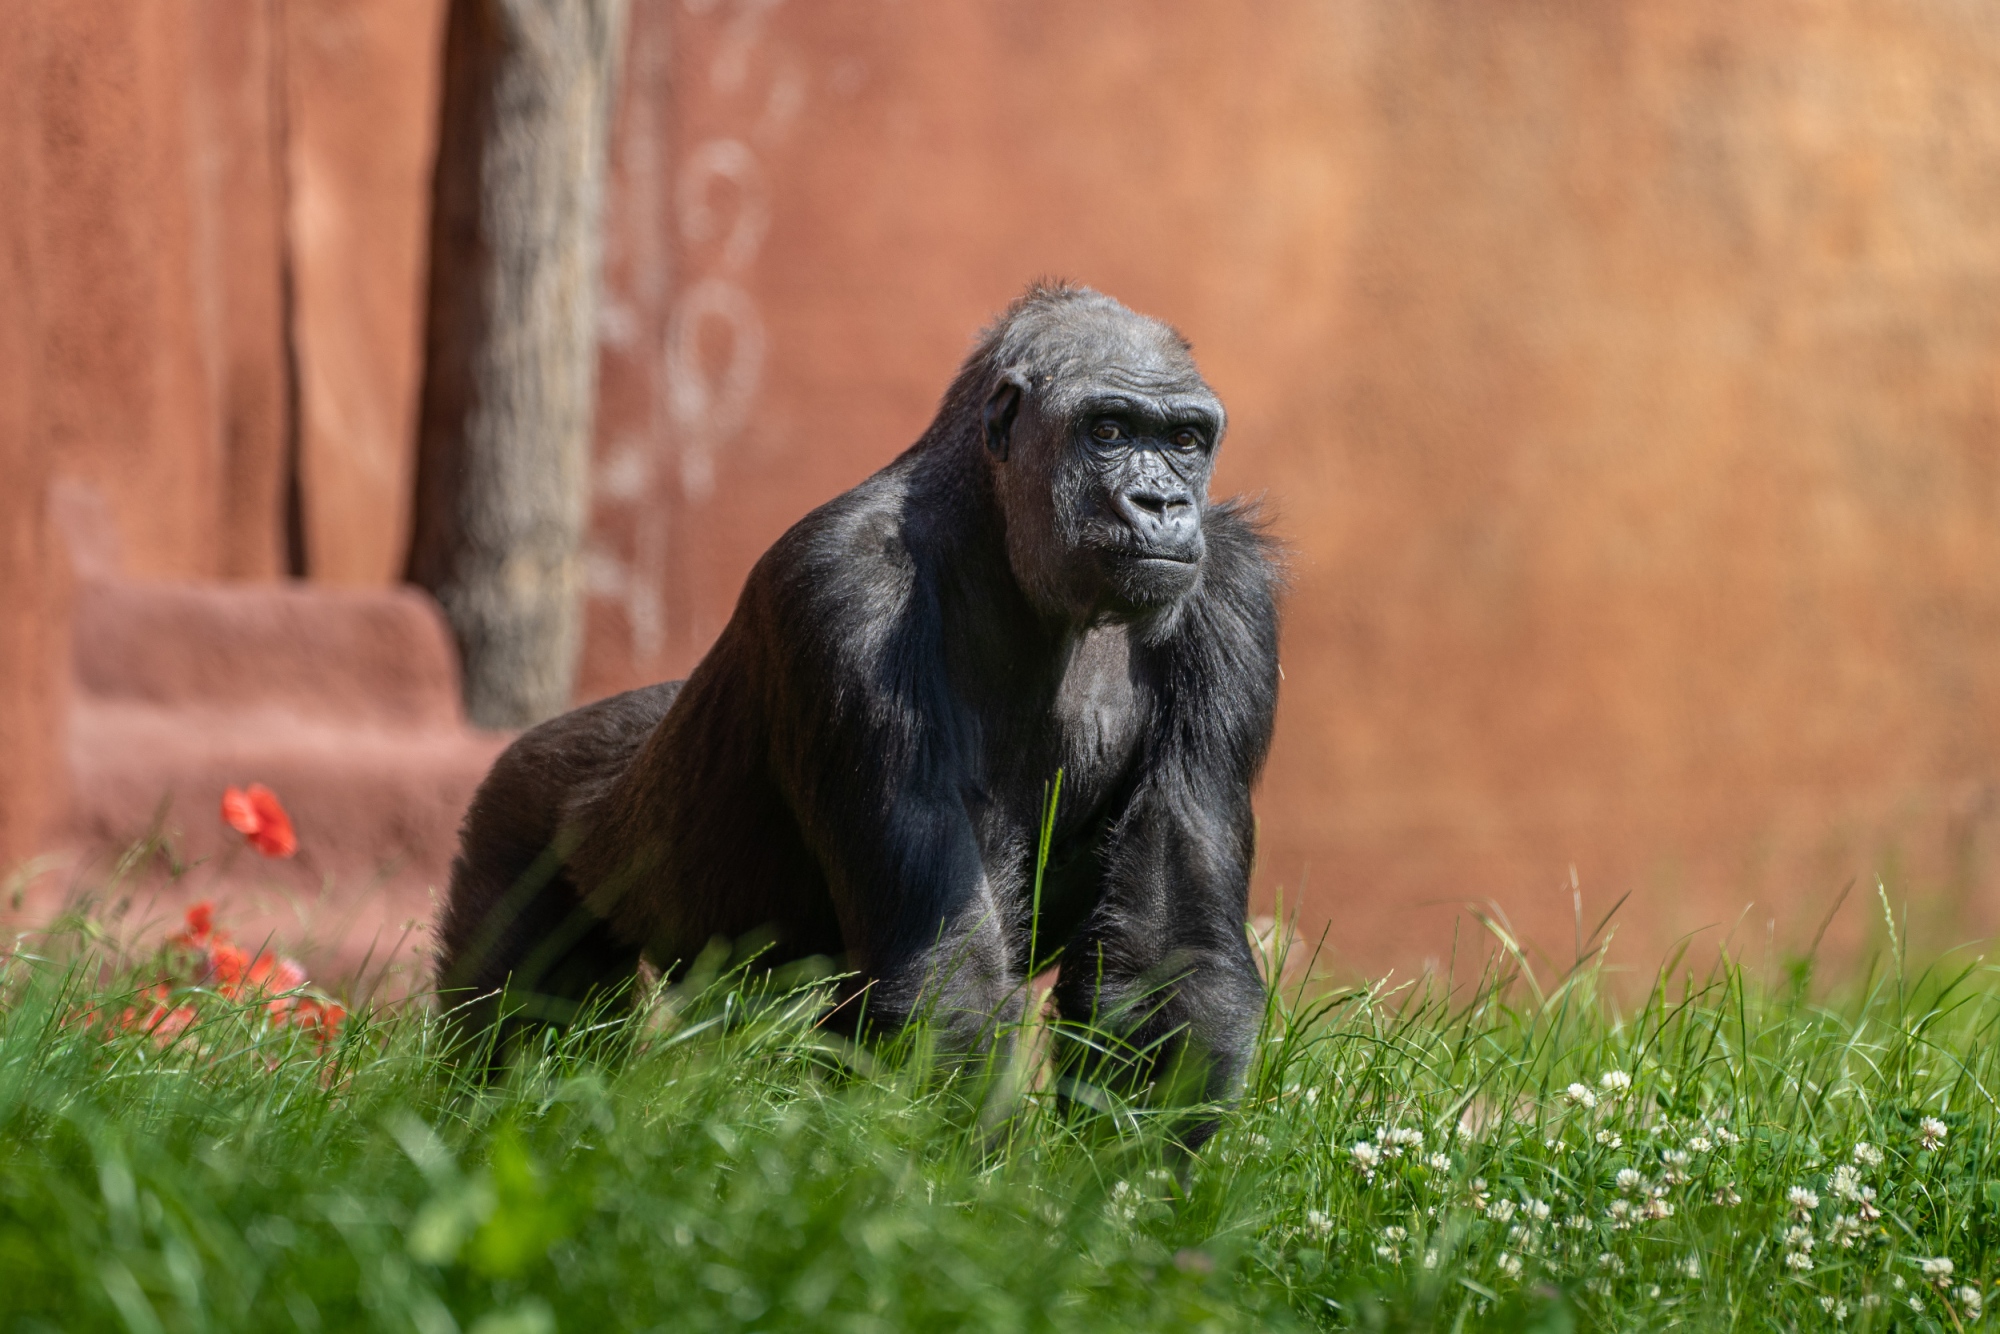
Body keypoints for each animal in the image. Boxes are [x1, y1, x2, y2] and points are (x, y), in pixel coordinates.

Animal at [438, 282, 1280, 1128]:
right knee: (510, 1023)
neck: (995, 536)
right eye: (1108, 430)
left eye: (1184, 438)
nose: (1161, 502)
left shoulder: (1233, 594)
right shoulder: (847, 592)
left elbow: (1171, 958)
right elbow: (948, 980)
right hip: (515, 813)